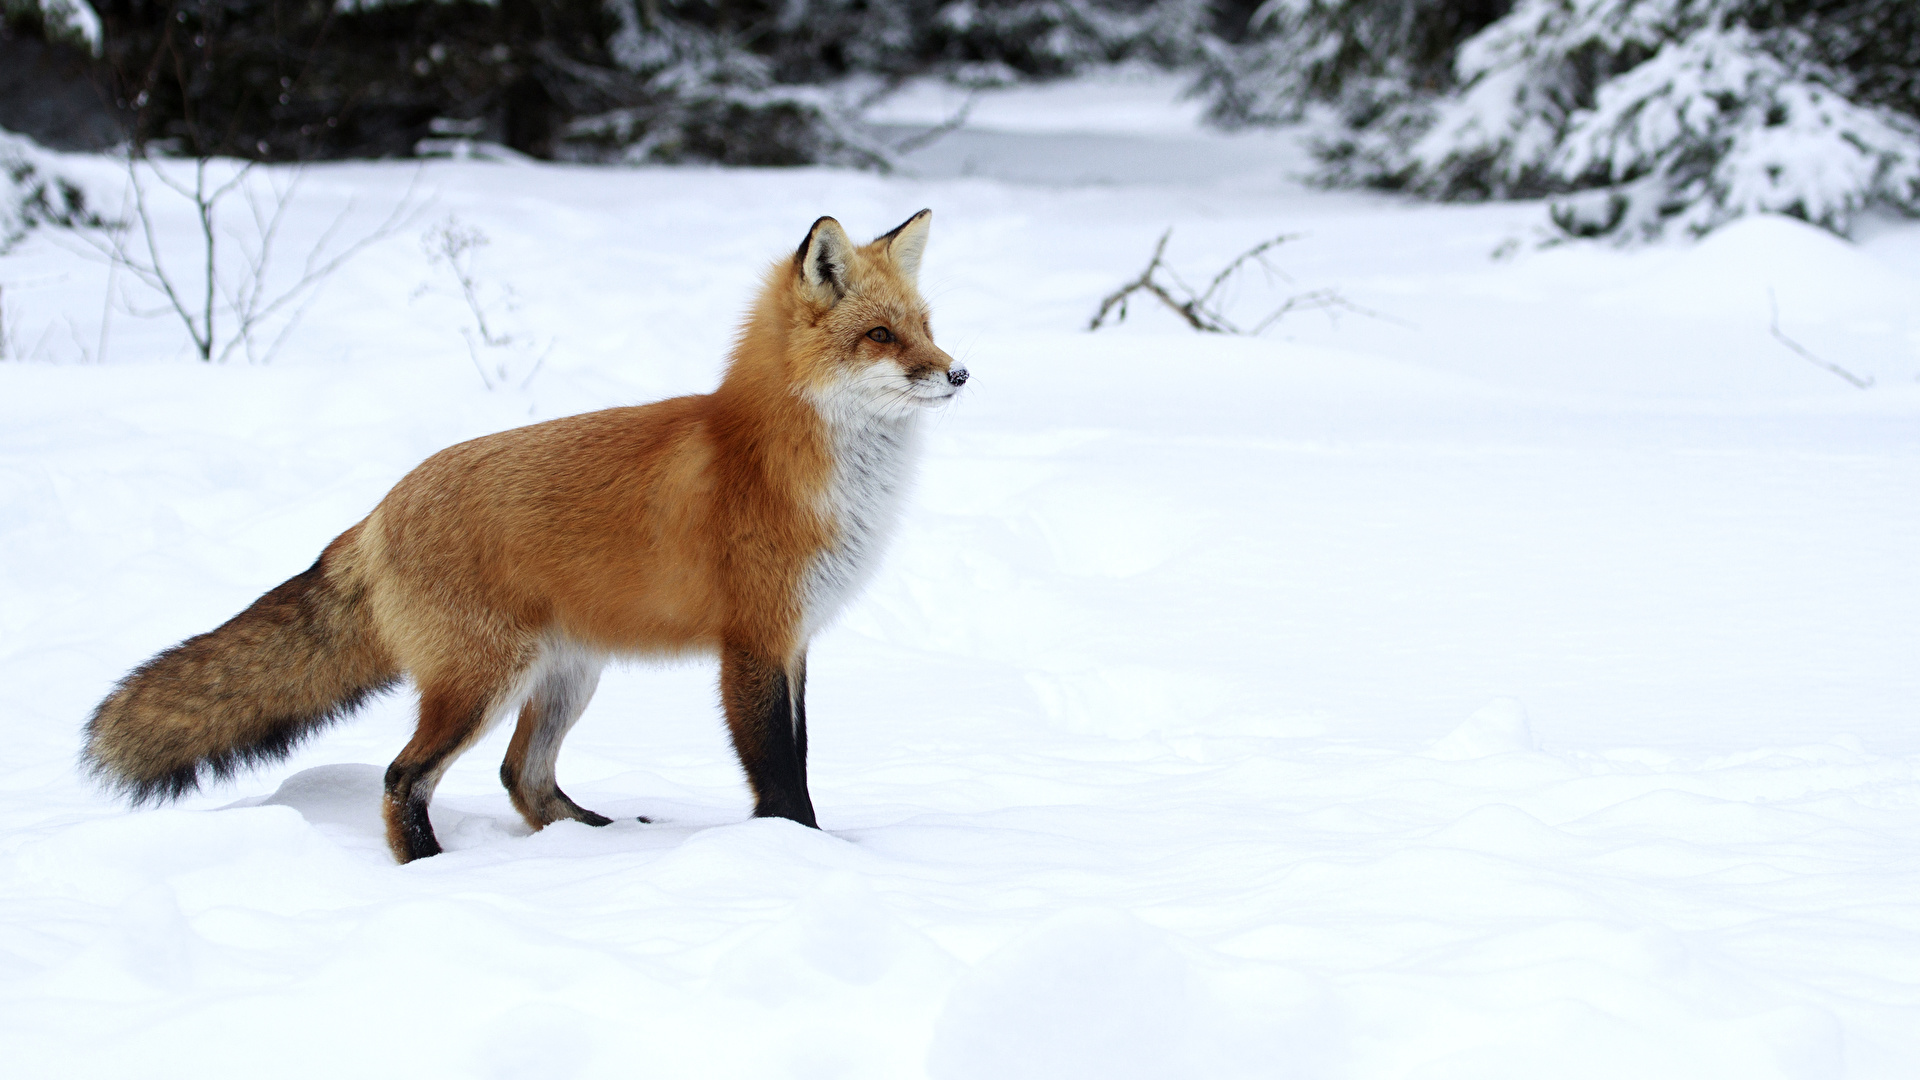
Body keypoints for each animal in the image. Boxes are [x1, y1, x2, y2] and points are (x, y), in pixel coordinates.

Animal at [84, 210, 967, 860]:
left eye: (926, 326)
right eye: (881, 336)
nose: (959, 374)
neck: (785, 459)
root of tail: (377, 513)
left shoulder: (795, 642)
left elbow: (802, 755)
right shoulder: (753, 639)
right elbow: (779, 773)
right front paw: (805, 857)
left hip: (567, 675)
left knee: (522, 777)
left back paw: (591, 845)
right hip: (483, 681)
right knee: (403, 777)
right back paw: (431, 866)